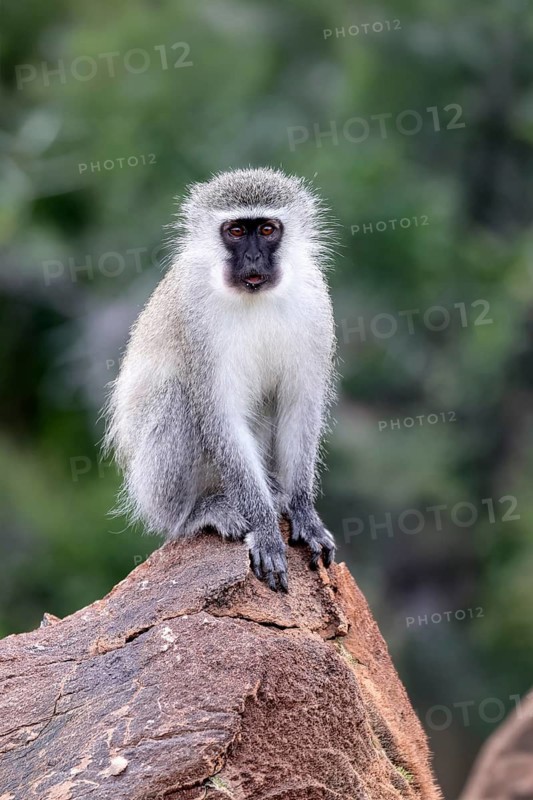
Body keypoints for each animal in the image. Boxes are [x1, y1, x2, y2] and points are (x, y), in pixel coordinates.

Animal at [104, 167, 336, 592]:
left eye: (266, 230)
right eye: (235, 231)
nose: (252, 258)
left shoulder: (315, 302)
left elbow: (299, 406)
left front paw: (303, 511)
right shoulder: (195, 316)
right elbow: (219, 416)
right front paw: (264, 528)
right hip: (152, 486)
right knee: (177, 397)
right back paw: (197, 513)